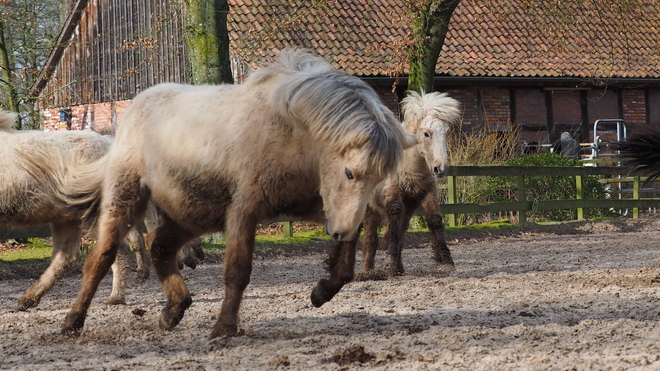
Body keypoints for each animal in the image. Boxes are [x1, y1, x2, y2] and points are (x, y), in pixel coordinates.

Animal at [0, 110, 146, 310]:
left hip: (96, 215)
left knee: (116, 252)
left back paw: (116, 297)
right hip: (66, 216)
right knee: (66, 257)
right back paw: (28, 299)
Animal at [29, 48, 418, 340]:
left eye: (378, 178)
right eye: (350, 172)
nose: (340, 230)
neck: (294, 131)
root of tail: (133, 111)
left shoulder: (315, 204)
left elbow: (348, 259)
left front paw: (323, 290)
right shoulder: (245, 210)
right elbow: (238, 270)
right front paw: (223, 328)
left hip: (194, 213)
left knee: (160, 245)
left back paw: (173, 310)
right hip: (126, 198)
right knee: (102, 258)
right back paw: (72, 322)